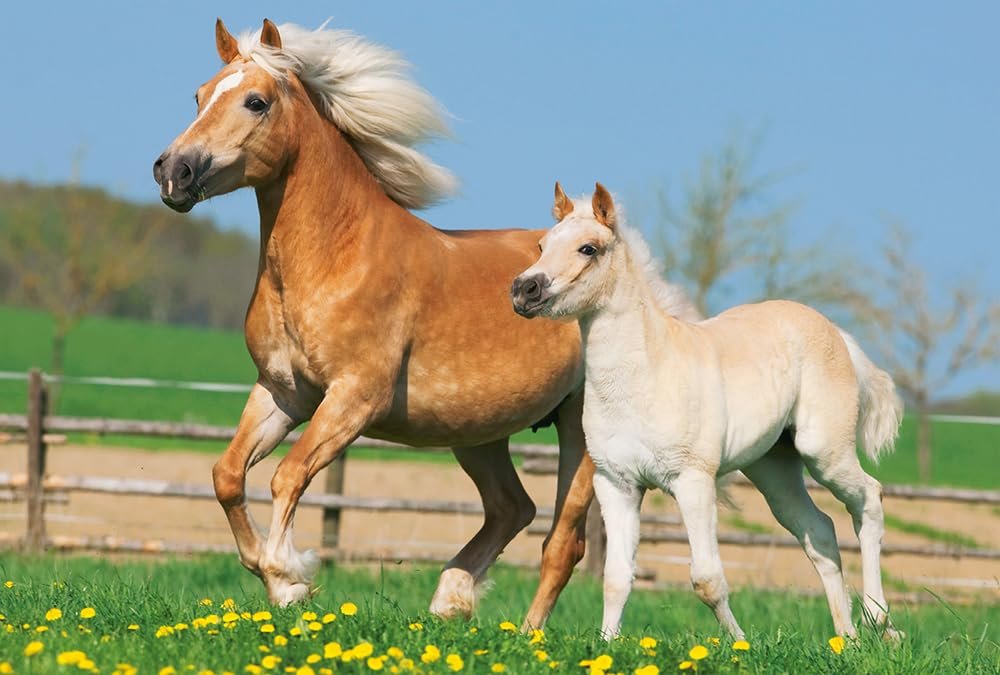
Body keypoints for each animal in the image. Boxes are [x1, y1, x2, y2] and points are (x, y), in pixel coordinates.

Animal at [152, 17, 674, 625]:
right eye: (199, 95)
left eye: (255, 102)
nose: (173, 171)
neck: (335, 257)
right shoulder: (283, 393)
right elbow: (228, 475)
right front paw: (280, 582)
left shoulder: (354, 398)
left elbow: (289, 475)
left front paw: (289, 577)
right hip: (478, 431)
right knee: (511, 508)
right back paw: (451, 600)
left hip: (580, 429)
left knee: (562, 541)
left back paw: (524, 633)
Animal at [511, 183, 904, 641]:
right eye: (542, 245)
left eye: (588, 248)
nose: (524, 289)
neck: (645, 376)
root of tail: (836, 333)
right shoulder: (617, 484)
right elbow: (616, 577)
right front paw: (607, 644)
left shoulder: (692, 481)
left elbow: (707, 579)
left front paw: (740, 644)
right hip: (774, 470)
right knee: (819, 532)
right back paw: (848, 638)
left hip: (824, 451)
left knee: (870, 500)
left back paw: (881, 621)